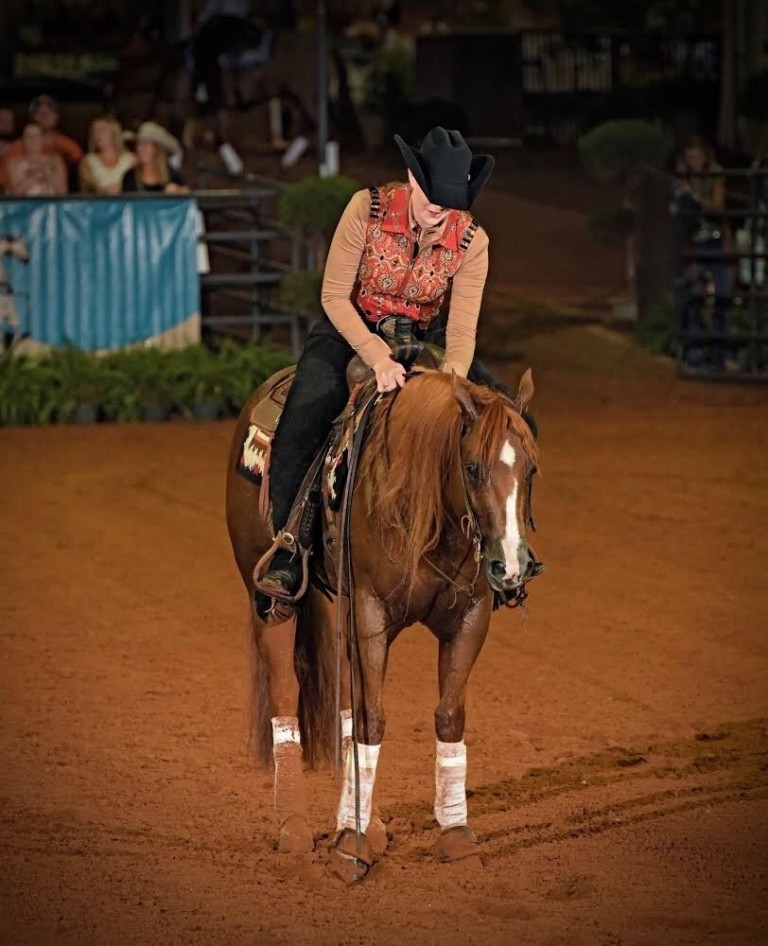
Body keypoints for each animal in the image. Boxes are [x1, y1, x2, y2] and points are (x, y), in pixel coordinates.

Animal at [225, 363, 540, 882]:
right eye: (472, 468)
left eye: (530, 469)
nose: (510, 567)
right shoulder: (371, 612)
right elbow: (372, 720)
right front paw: (349, 848)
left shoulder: (469, 619)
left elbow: (447, 716)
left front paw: (456, 836)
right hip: (270, 597)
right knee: (284, 694)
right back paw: (294, 827)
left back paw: (365, 823)